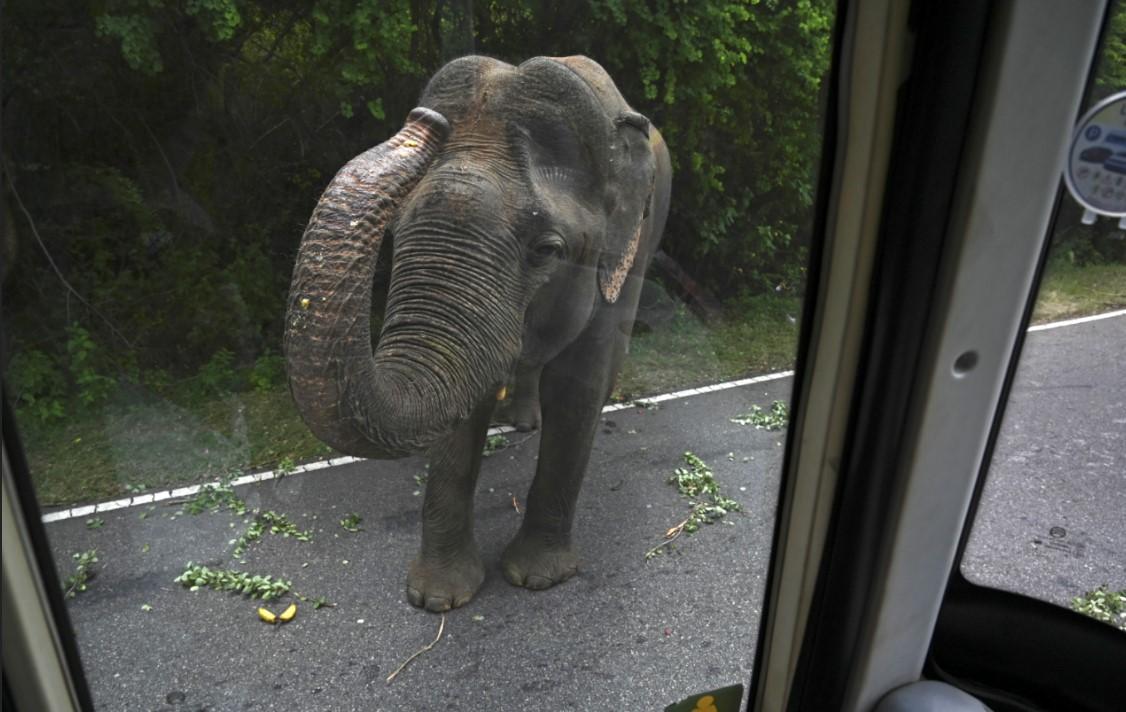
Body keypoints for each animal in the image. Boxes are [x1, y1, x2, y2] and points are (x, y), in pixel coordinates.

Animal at [283, 55, 666, 612]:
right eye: (395, 232)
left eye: (547, 250)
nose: (425, 119)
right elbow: (463, 405)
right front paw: (438, 599)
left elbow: (575, 390)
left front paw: (537, 579)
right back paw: (523, 422)